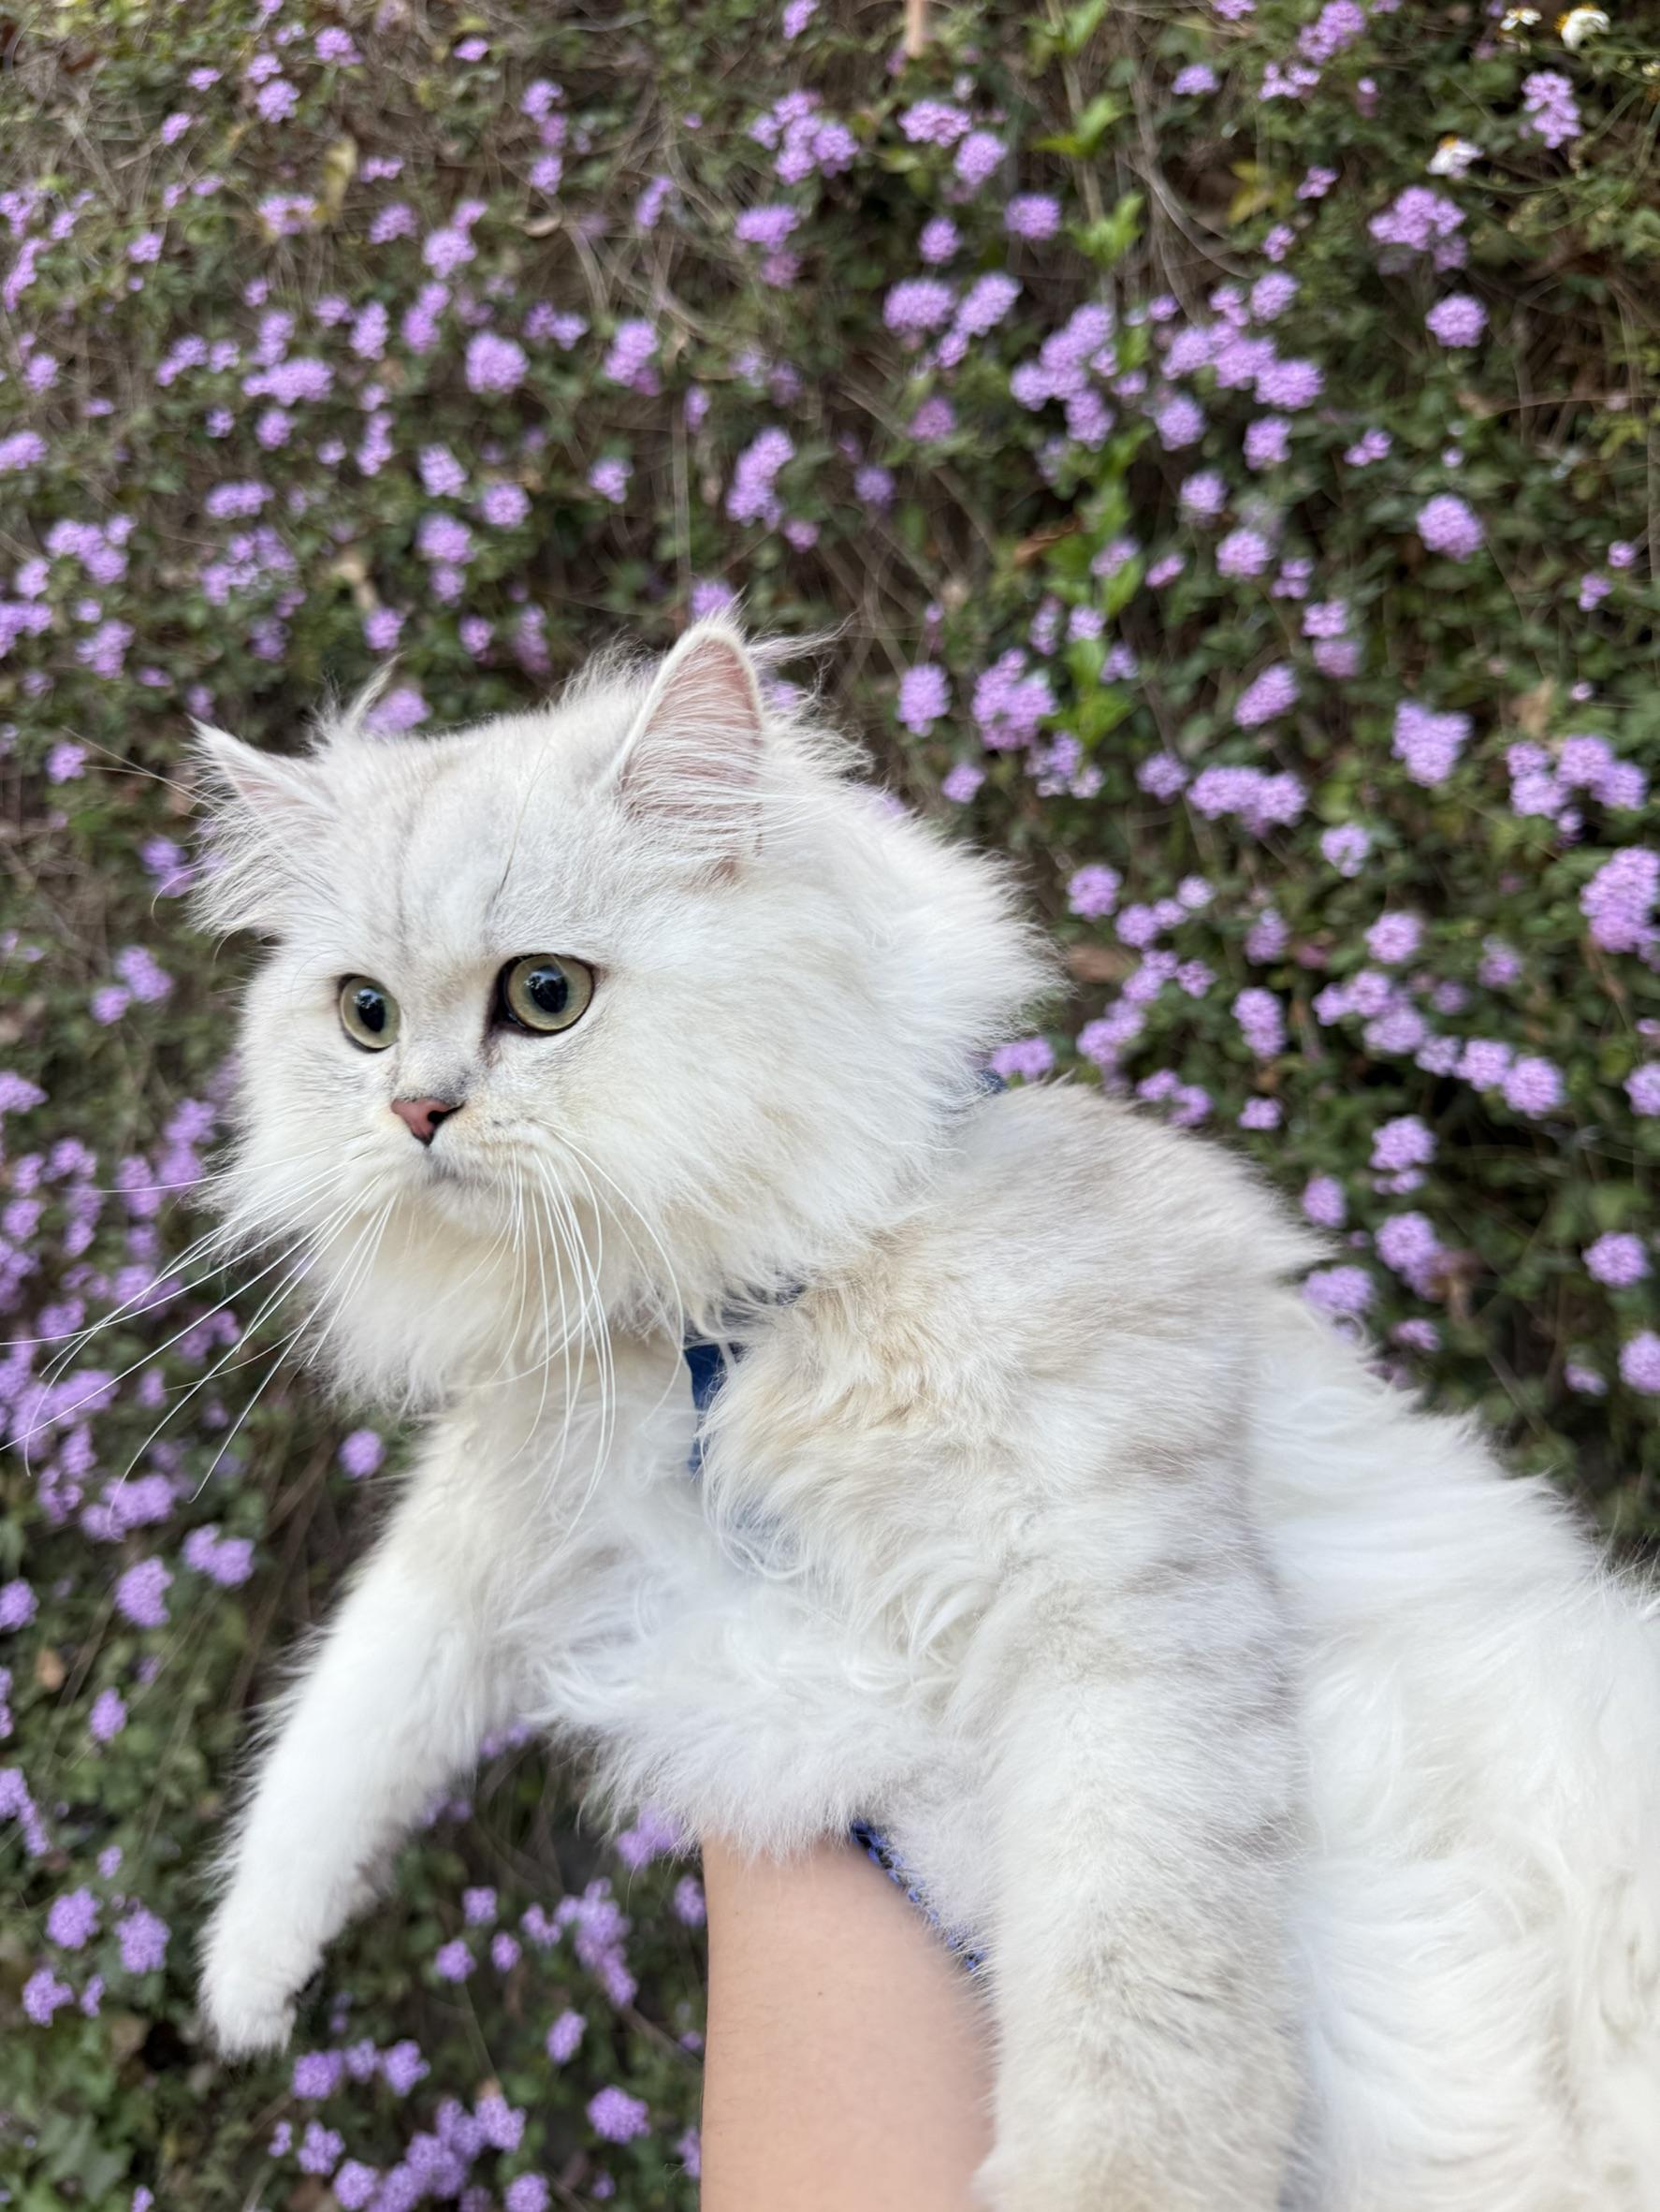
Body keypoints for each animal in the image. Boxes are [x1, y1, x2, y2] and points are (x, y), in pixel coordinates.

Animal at [194, 619, 1660, 2212]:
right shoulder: (518, 1515)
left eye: (542, 996)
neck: (732, 1328)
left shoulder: (1122, 1613)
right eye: (364, 1017)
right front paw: (244, 1984)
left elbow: (1138, 2027)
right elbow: (350, 1717)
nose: (414, 1114)